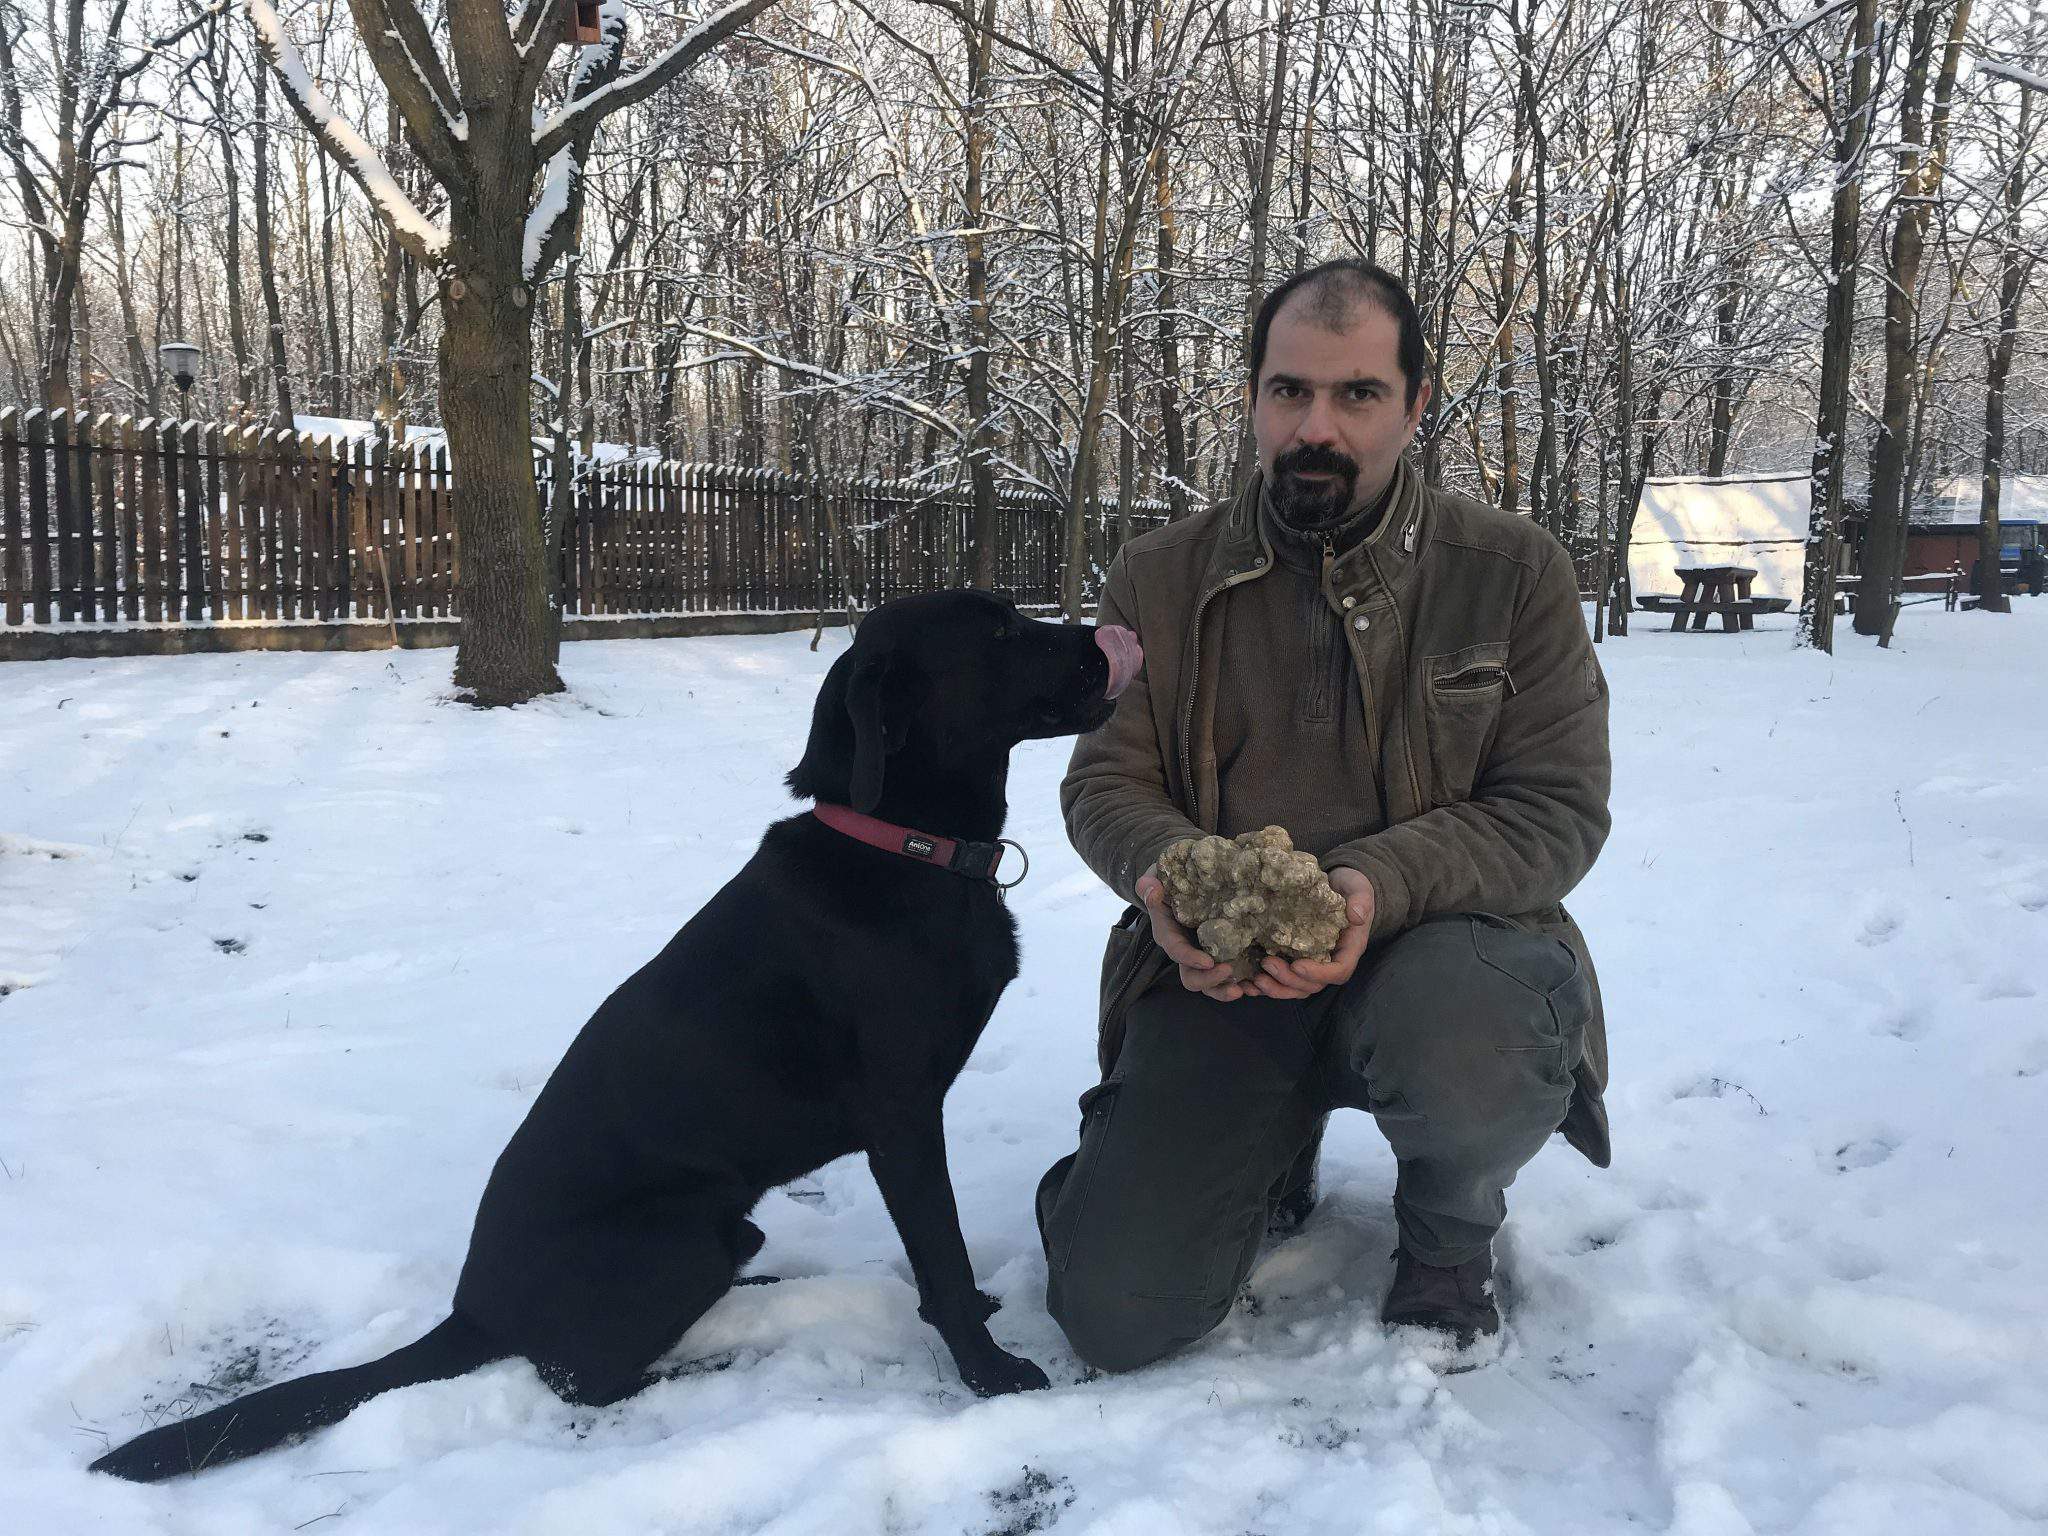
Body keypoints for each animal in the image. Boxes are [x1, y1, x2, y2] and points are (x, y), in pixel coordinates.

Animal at [89, 589, 1144, 1481]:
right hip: (682, 1234)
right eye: (997, 631)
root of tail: (473, 1309)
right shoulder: (902, 1116)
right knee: (579, 1377)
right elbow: (942, 1256)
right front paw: (989, 1369)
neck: (904, 851)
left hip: (724, 1227)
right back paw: (697, 1371)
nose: (1109, 639)